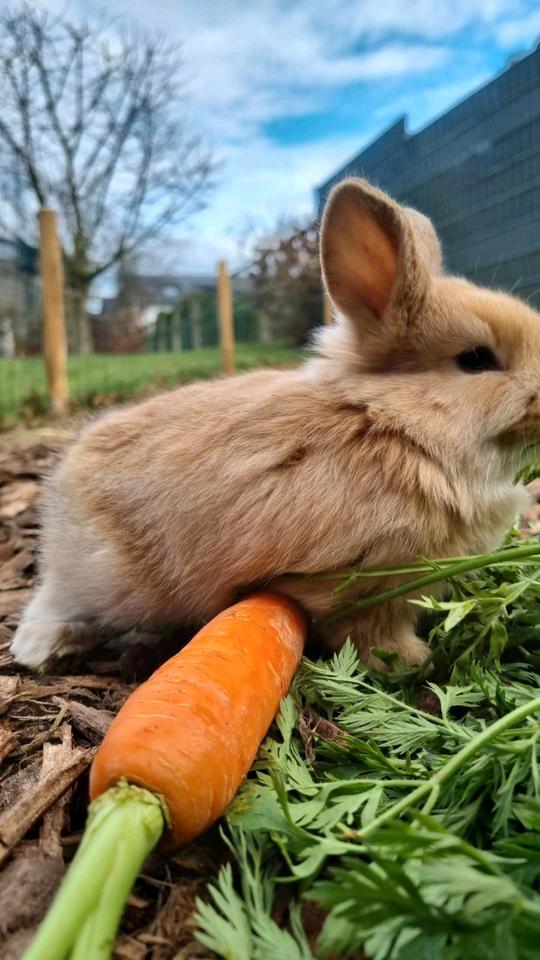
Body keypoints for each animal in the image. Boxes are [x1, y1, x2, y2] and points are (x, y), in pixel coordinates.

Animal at [9, 182, 540, 676]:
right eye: (476, 359)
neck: (396, 420)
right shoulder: (357, 584)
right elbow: (368, 631)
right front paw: (413, 661)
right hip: (106, 576)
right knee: (56, 598)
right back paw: (41, 648)